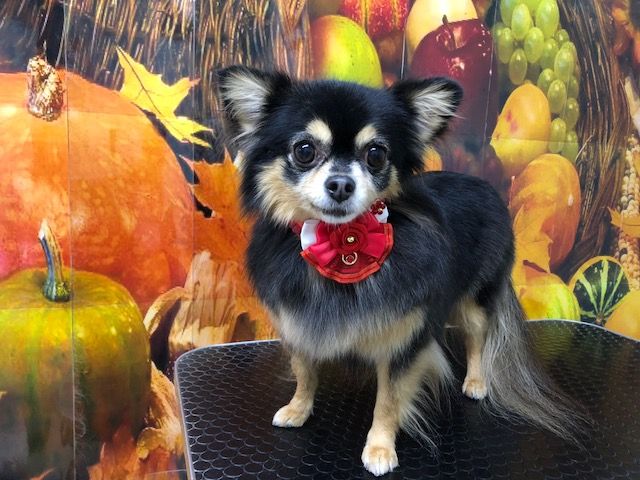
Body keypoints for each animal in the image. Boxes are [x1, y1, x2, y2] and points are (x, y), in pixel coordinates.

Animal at [215, 66, 579, 476]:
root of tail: (485, 187)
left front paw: (379, 448)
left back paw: (476, 381)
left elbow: (388, 401)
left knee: (477, 339)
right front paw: (298, 409)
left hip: (474, 302)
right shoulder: (299, 325)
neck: (338, 239)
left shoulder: (403, 343)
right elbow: (305, 371)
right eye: (304, 150)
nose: (340, 184)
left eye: (376, 154)